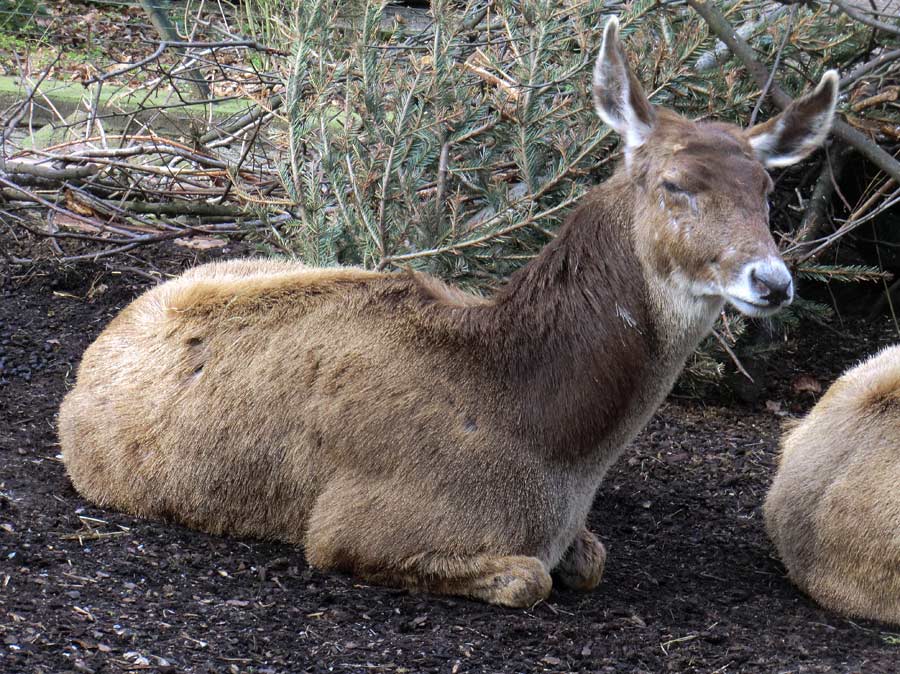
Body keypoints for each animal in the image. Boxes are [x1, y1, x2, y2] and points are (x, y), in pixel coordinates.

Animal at [59, 18, 840, 608]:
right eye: (675, 183)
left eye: (767, 187)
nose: (772, 281)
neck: (549, 445)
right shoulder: (353, 525)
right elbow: (527, 579)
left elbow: (591, 560)